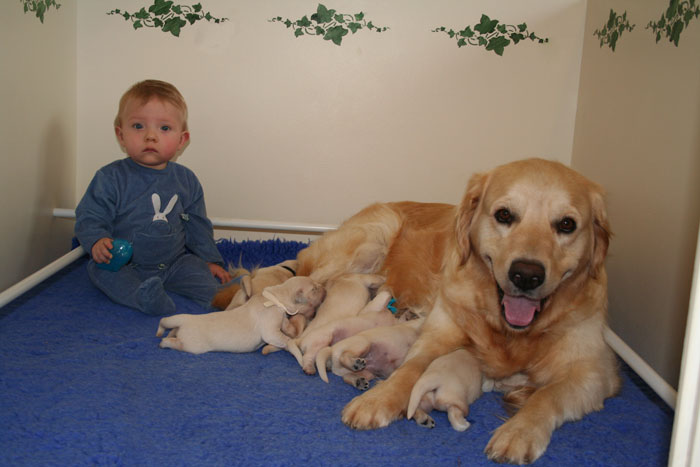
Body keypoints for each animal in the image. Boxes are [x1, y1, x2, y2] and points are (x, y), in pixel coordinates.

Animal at [156, 276, 325, 354]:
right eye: (315, 289)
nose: (324, 288)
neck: (275, 298)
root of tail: (184, 324)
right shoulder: (270, 330)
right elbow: (280, 337)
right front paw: (290, 341)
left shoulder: (281, 318)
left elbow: (286, 326)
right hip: (192, 345)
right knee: (173, 341)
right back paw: (164, 341)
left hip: (180, 320)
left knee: (168, 323)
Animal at [295, 158, 620, 464]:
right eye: (504, 215)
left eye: (566, 224)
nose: (526, 275)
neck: (508, 331)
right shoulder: (437, 331)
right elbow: (410, 369)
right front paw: (377, 400)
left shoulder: (594, 371)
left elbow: (547, 395)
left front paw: (519, 431)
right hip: (372, 237)